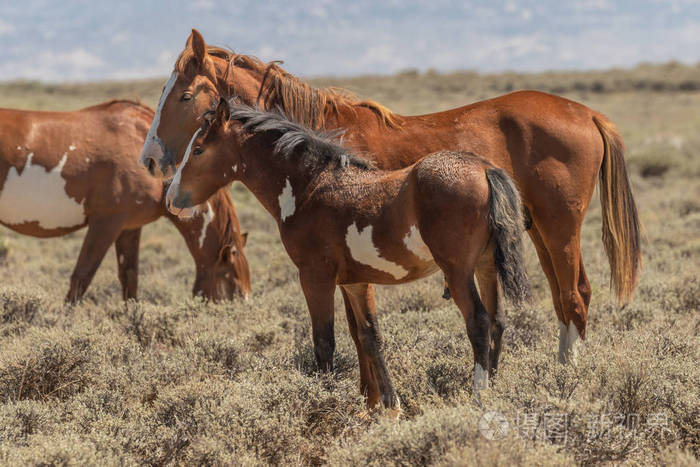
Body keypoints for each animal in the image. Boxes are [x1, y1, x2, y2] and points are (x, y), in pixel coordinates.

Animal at [135, 30, 640, 366]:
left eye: (183, 96)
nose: (150, 160)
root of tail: (587, 113)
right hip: (535, 233)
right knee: (568, 298)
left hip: (559, 230)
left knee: (573, 297)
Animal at [164, 100, 532, 408]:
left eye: (198, 149)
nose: (171, 196)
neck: (309, 188)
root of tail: (484, 169)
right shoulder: (355, 283)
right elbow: (370, 336)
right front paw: (389, 407)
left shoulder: (315, 278)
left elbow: (324, 341)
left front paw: (323, 401)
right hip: (485, 266)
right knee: (497, 319)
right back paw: (493, 388)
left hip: (457, 271)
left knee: (479, 322)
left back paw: (478, 396)